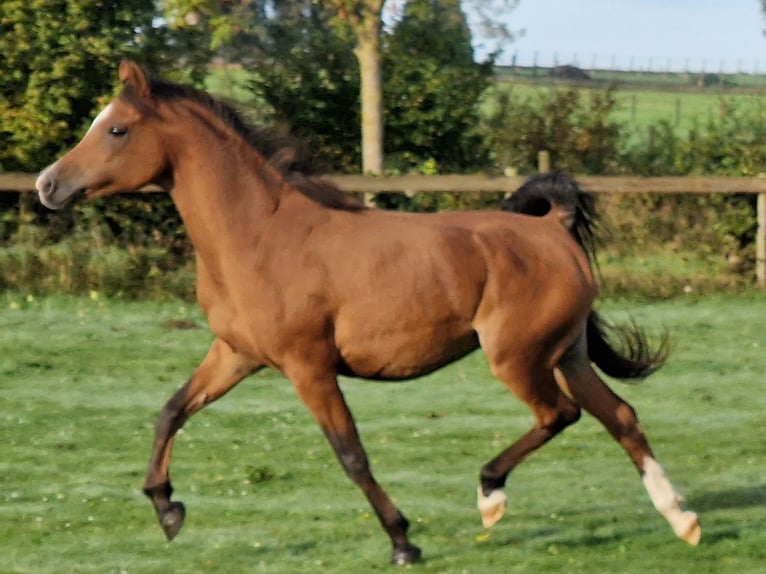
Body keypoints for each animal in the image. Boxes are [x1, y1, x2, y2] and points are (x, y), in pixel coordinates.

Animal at [36, 59, 704, 568]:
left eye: (116, 130)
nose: (47, 184)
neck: (257, 236)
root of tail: (552, 229)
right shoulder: (237, 355)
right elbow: (171, 411)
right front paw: (167, 508)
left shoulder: (307, 366)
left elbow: (350, 453)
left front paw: (403, 542)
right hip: (566, 352)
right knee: (620, 416)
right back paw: (682, 519)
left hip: (517, 357)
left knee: (559, 414)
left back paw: (491, 495)